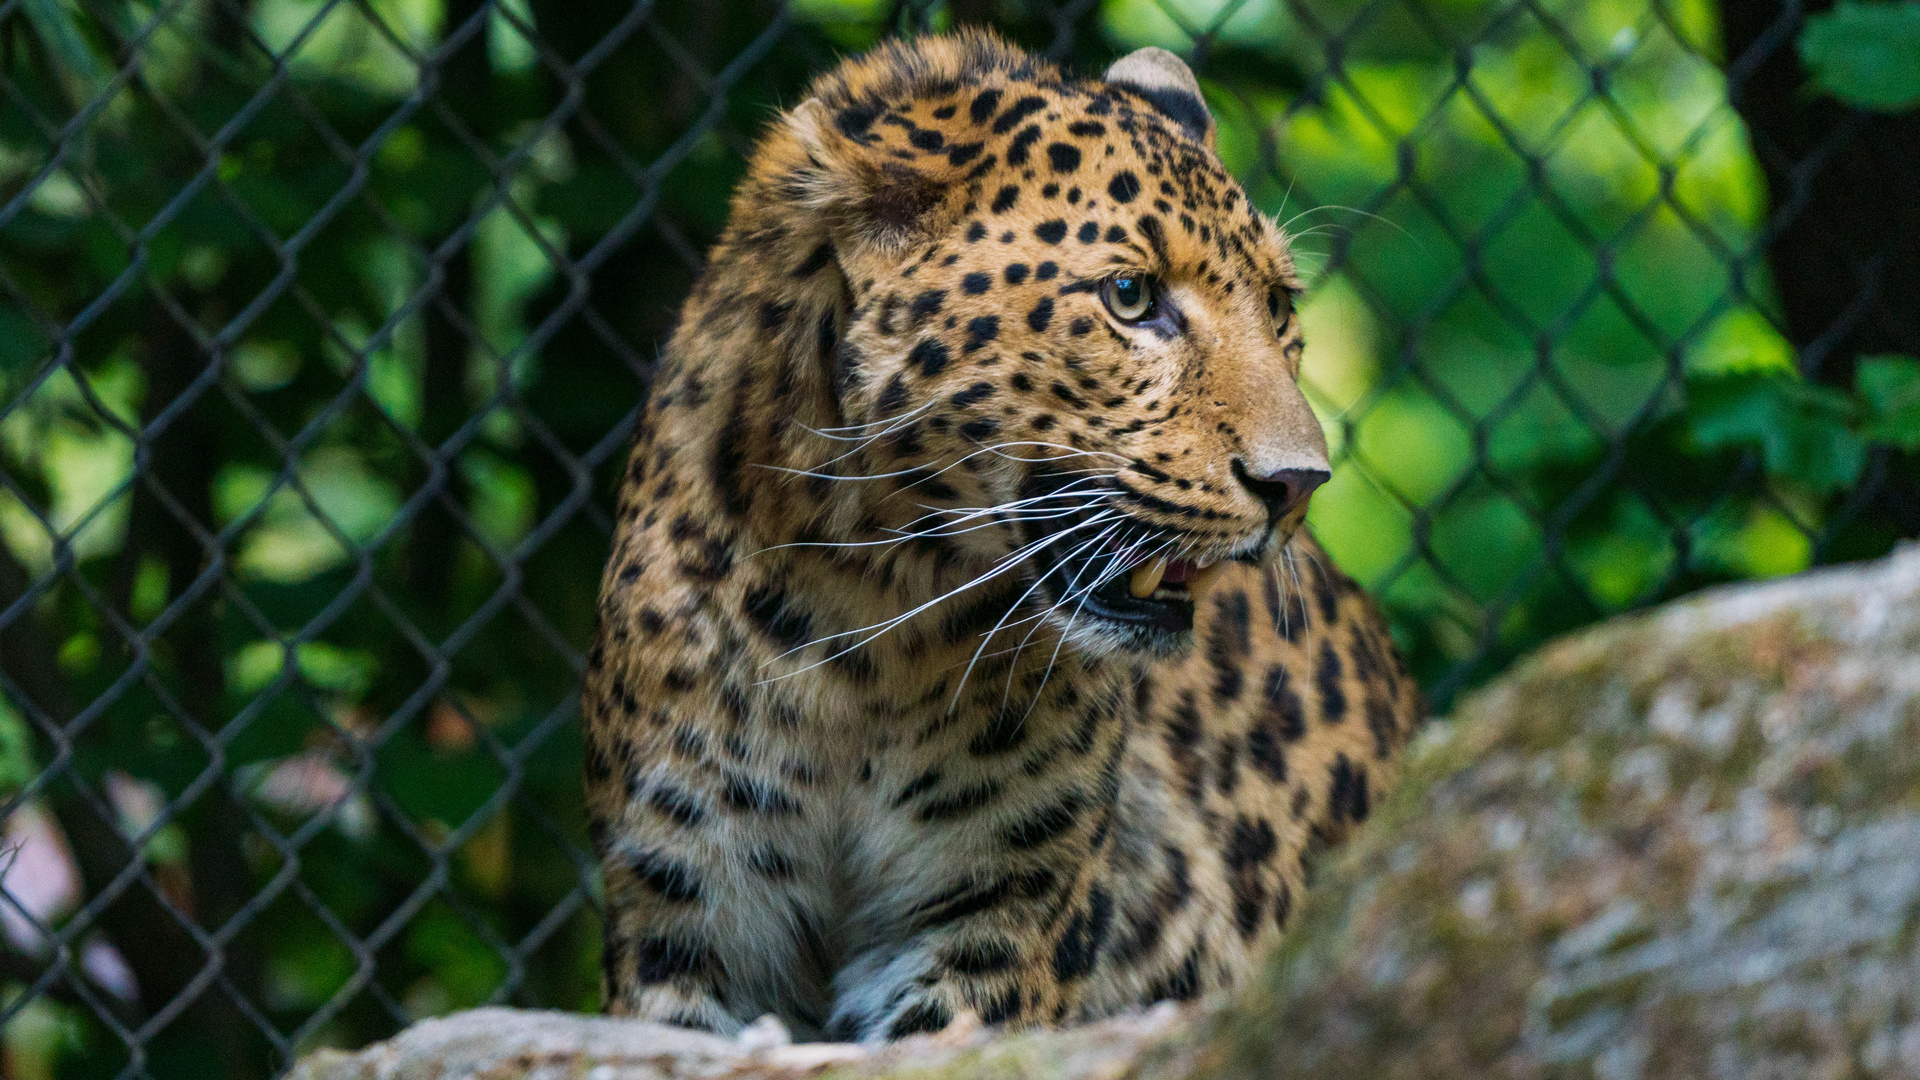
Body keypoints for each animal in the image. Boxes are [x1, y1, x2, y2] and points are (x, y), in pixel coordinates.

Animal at [583, 31, 1428, 1045]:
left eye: (1279, 307)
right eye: (1131, 296)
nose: (1298, 484)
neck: (861, 617)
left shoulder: (997, 924)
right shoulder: (685, 916)